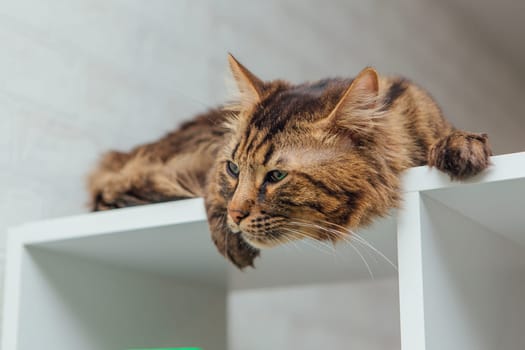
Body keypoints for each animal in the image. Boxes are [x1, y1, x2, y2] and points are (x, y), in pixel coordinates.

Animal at [87, 54, 492, 268]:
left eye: (276, 175)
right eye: (233, 168)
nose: (235, 216)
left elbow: (450, 136)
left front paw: (461, 147)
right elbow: (210, 187)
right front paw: (226, 231)